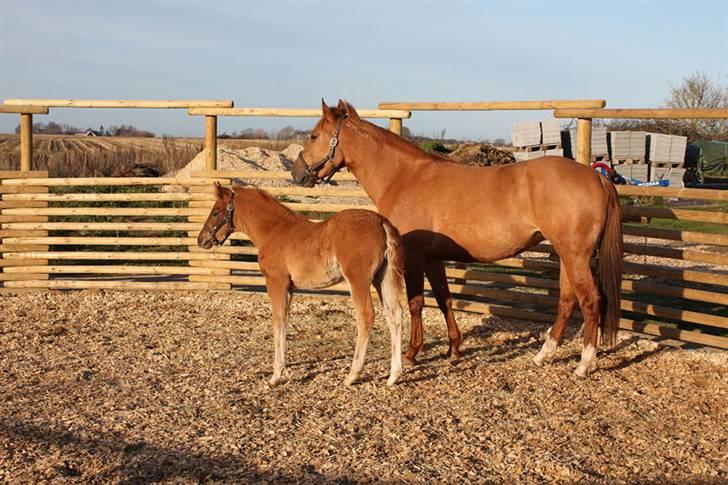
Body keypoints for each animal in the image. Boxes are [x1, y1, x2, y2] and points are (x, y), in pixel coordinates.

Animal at [199, 182, 404, 386]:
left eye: (216, 211)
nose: (201, 239)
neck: (273, 231)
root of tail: (379, 221)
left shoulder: (276, 281)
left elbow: (278, 320)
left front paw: (276, 375)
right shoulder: (289, 287)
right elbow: (285, 320)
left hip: (358, 279)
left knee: (366, 315)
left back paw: (352, 375)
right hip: (383, 277)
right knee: (394, 314)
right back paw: (394, 376)